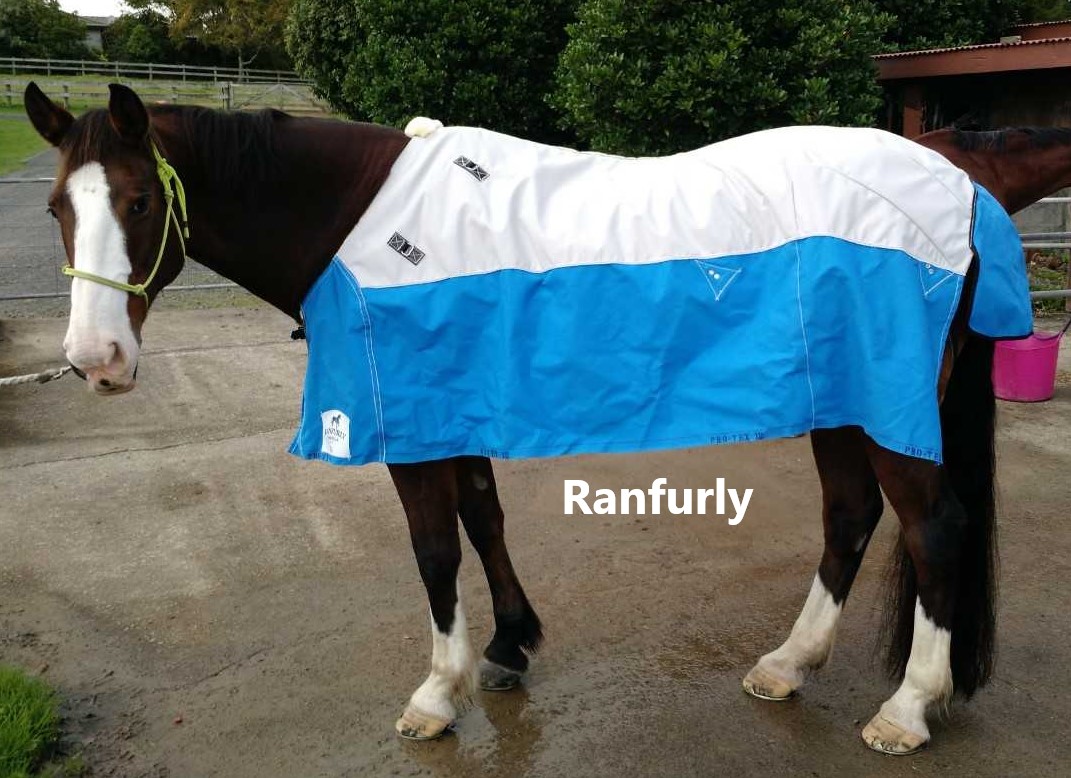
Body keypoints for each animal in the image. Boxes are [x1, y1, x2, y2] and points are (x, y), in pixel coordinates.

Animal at [21, 82, 1043, 756]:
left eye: (140, 201)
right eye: (57, 206)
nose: (95, 360)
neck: (362, 223)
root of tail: (958, 182)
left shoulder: (413, 423)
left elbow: (436, 548)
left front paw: (438, 692)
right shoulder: (458, 409)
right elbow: (484, 519)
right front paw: (510, 646)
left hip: (887, 409)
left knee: (933, 527)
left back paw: (906, 709)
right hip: (840, 402)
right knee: (851, 516)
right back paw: (789, 664)